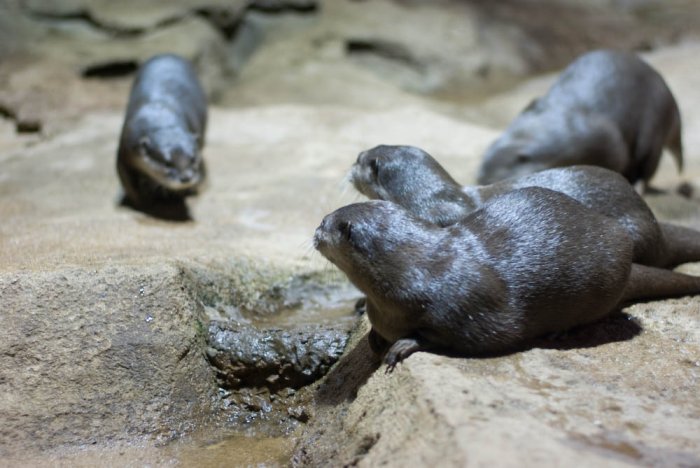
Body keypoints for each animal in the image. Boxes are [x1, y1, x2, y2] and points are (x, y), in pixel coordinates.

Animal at [115, 54, 206, 207]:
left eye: (193, 159)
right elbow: (129, 184)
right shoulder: (124, 150)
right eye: (167, 163)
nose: (186, 177)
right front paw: (144, 202)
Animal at [314, 189, 700, 370]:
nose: (315, 233)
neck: (414, 273)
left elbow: (463, 337)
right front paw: (375, 339)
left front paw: (403, 344)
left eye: (323, 223)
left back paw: (561, 331)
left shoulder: (471, 309)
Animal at [476, 49, 684, 190]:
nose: (479, 180)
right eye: (481, 172)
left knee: (648, 166)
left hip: (654, 123)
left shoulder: (607, 141)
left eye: (491, 180)